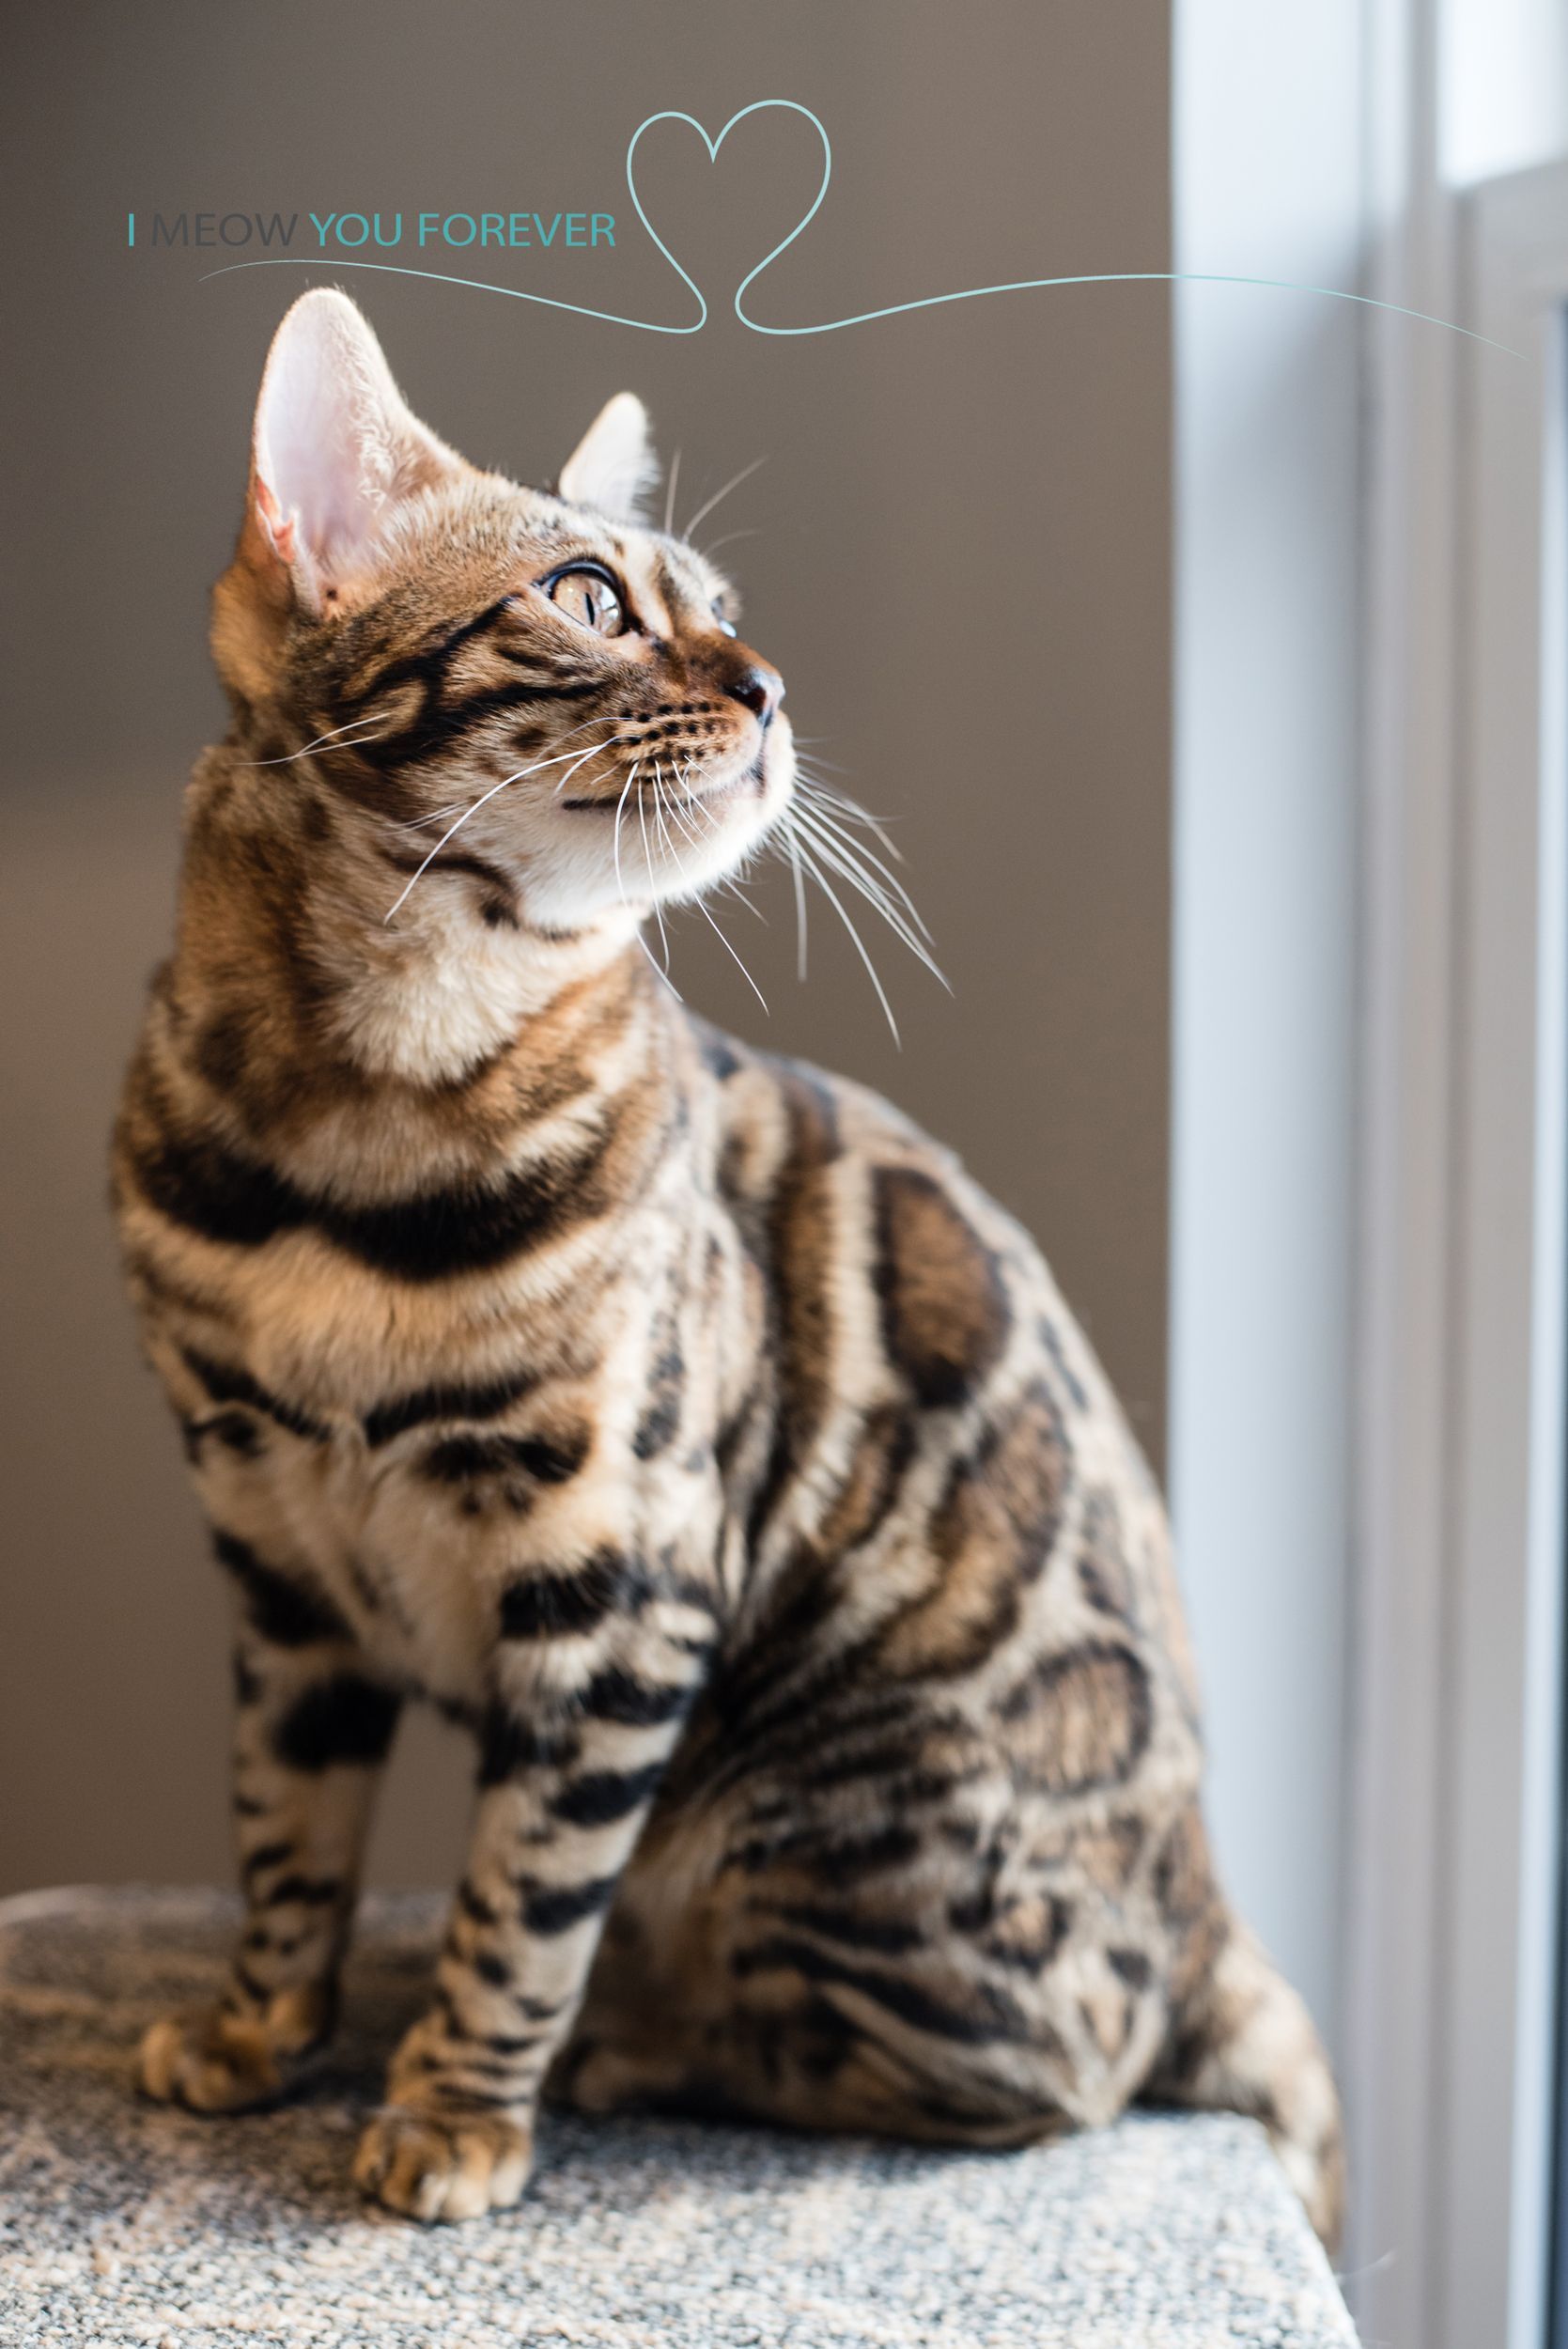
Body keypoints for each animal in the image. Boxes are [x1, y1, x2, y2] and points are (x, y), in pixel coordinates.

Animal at [116, 288, 1352, 2236]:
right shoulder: (274, 1558)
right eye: (588, 598)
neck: (354, 1139)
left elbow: (518, 1902)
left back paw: (637, 2042)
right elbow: (282, 1841)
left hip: (800, 1825)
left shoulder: (618, 1584)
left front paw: (454, 2111)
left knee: (1028, 2080)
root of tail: (1206, 1896)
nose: (771, 685)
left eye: (712, 600)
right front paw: (257, 2037)